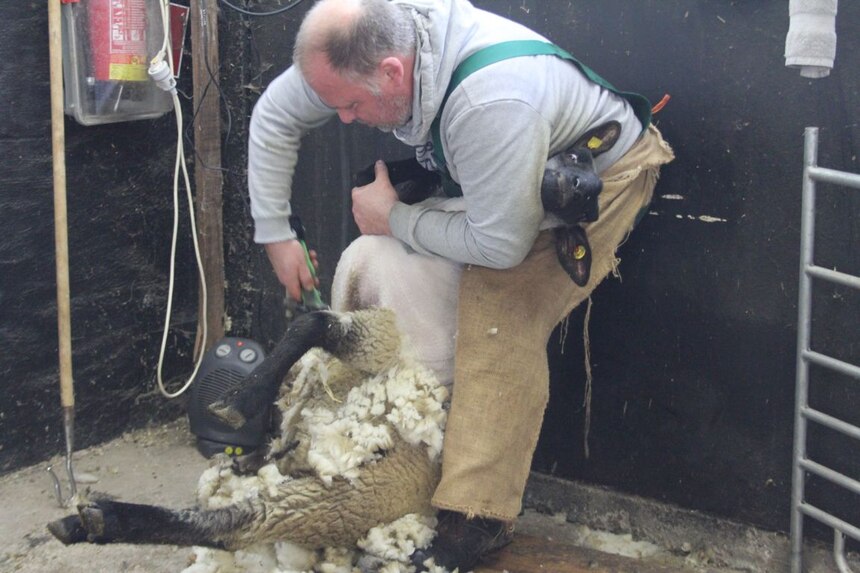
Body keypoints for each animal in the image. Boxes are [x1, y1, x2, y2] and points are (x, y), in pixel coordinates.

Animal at [47, 310, 450, 568]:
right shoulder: (382, 344)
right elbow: (316, 320)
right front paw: (241, 399)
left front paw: (242, 400)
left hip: (360, 495)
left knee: (241, 523)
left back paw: (98, 520)